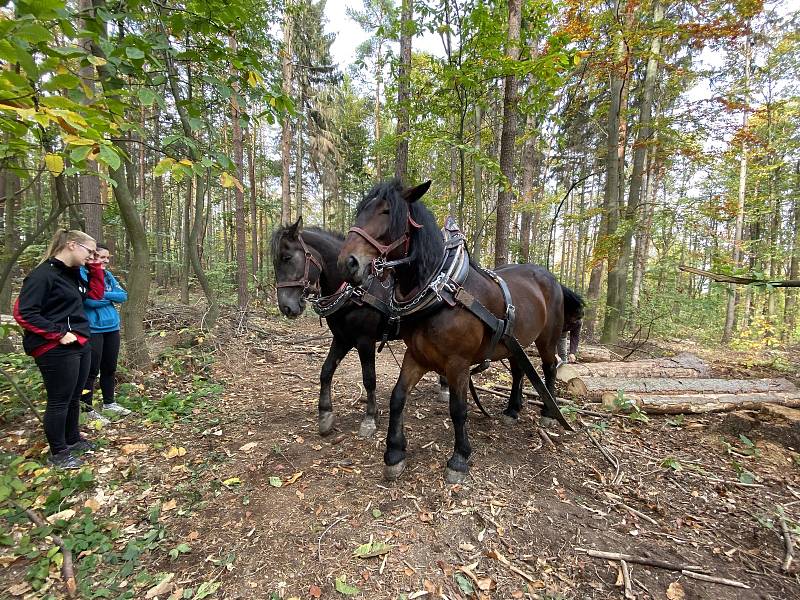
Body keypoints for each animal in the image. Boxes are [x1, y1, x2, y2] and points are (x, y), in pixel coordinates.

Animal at [272, 218, 450, 438]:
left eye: (287, 257)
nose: (286, 307)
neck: (355, 291)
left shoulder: (365, 341)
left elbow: (369, 378)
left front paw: (370, 418)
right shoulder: (342, 338)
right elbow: (326, 371)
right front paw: (325, 414)